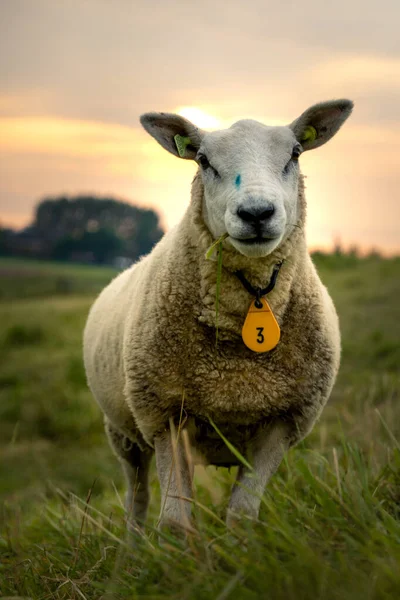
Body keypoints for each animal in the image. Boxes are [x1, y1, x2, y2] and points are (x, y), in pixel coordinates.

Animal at [83, 99, 354, 536]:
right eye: (203, 160)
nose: (256, 213)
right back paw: (132, 546)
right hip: (124, 433)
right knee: (137, 498)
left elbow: (242, 515)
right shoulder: (165, 415)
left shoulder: (282, 422)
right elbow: (175, 521)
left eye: (295, 153)